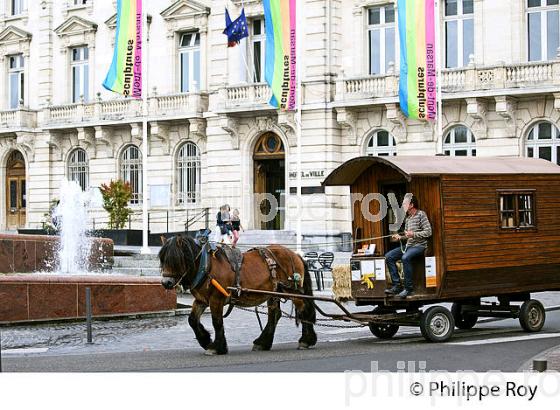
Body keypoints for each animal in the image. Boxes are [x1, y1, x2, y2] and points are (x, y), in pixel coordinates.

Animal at [159, 235, 316, 354]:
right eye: (163, 259)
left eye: (175, 259)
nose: (166, 283)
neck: (206, 266)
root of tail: (295, 255)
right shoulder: (201, 300)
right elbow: (192, 320)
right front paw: (205, 340)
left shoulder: (216, 299)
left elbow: (217, 322)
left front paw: (217, 347)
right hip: (274, 293)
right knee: (274, 315)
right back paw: (262, 343)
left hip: (292, 291)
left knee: (304, 309)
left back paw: (306, 340)